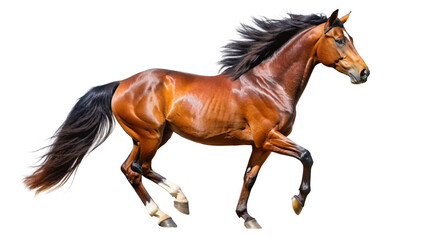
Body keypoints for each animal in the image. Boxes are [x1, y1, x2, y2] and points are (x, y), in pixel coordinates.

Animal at [24, 9, 370, 229]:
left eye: (351, 37)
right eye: (339, 39)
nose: (364, 73)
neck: (268, 83)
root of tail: (121, 83)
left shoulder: (261, 144)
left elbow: (250, 176)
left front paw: (246, 217)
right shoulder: (268, 137)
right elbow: (307, 155)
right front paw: (298, 201)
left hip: (148, 136)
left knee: (129, 170)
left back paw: (162, 216)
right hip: (151, 136)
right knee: (141, 167)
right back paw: (179, 201)